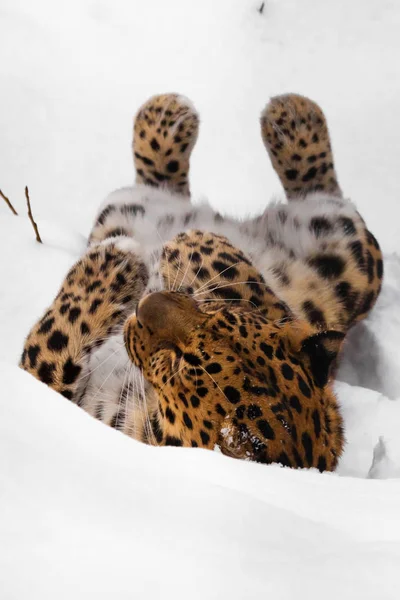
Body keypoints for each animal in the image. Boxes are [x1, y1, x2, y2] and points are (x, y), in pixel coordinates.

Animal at [20, 91, 382, 472]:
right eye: (220, 318)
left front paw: (125, 260)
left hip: (352, 257)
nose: (144, 305)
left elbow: (47, 352)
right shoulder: (279, 314)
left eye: (176, 361)